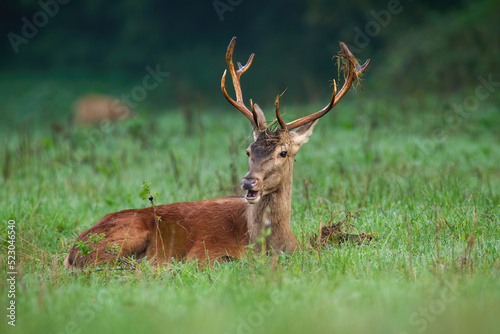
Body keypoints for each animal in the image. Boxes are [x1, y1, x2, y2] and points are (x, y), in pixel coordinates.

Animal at [63, 36, 372, 268]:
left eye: (284, 153)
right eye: (248, 150)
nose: (248, 182)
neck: (270, 245)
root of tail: (73, 251)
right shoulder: (203, 252)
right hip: (126, 235)